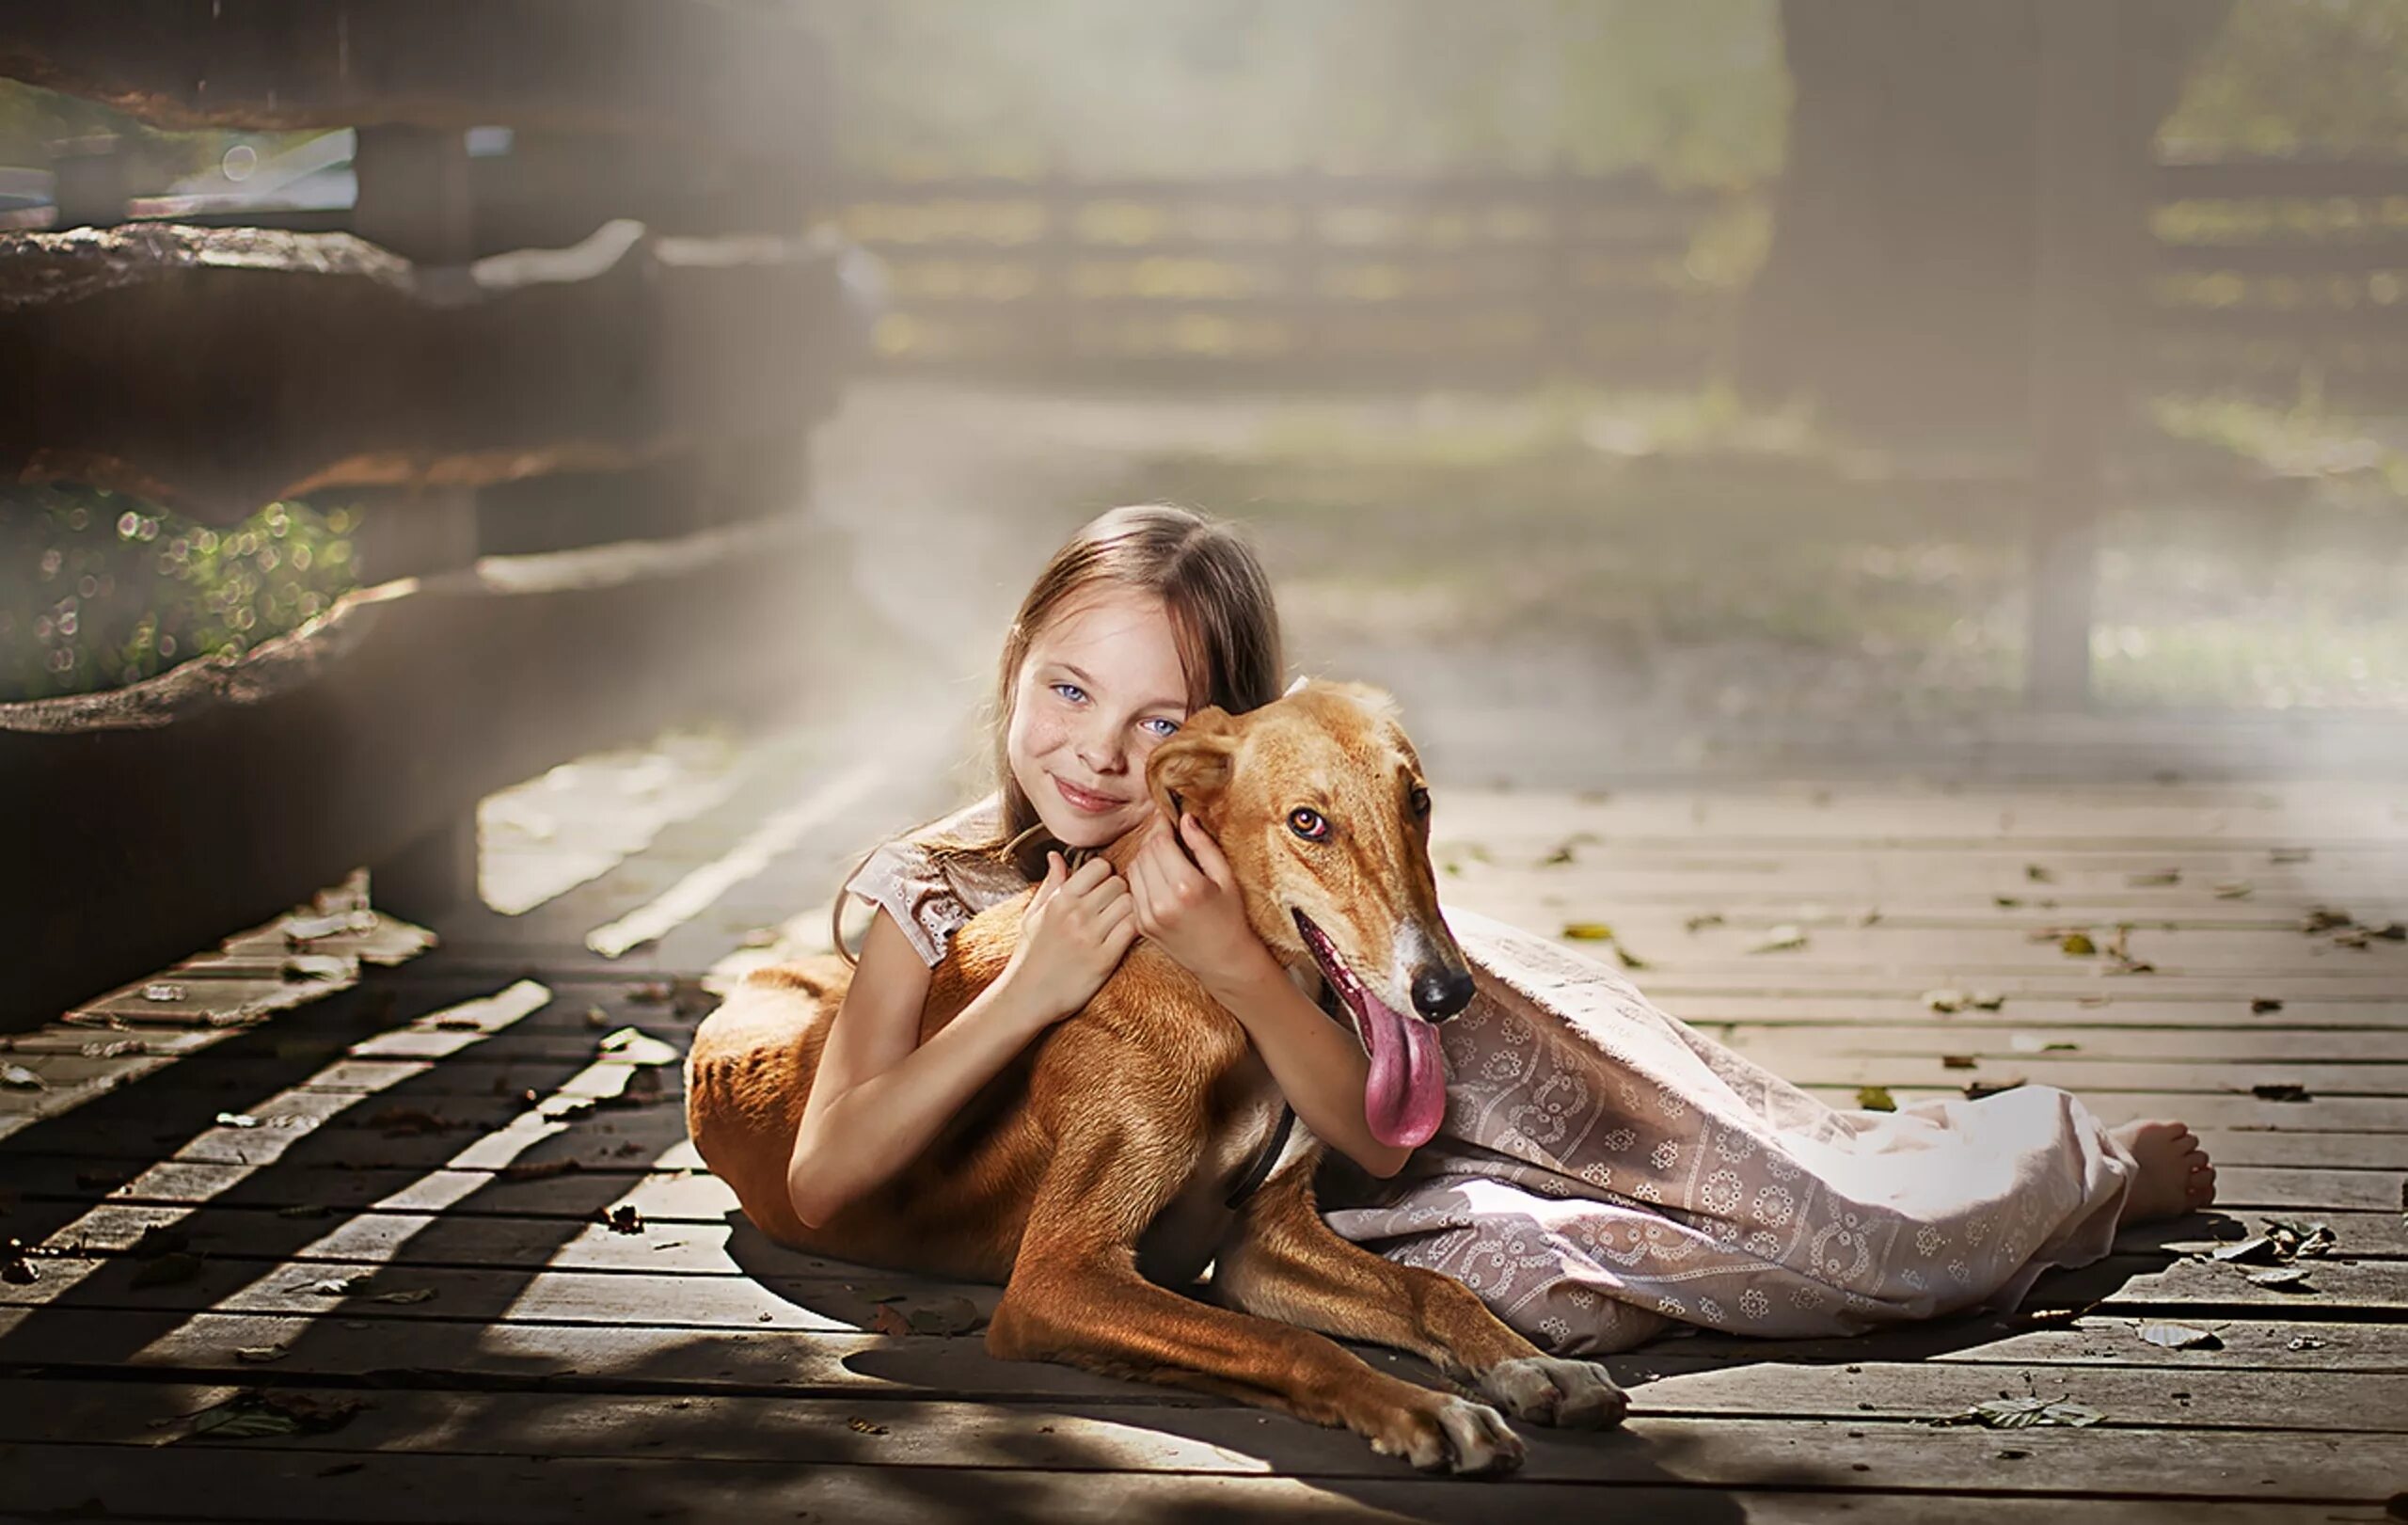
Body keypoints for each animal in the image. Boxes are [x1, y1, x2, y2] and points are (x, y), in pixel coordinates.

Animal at [689, 684, 1627, 1464]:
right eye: (1307, 822)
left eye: (1418, 801)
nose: (1447, 992)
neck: (1222, 992)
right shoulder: (1061, 1275)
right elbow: (1292, 1342)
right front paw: (1427, 1408)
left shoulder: (1263, 1241)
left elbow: (1434, 1286)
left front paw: (1533, 1366)